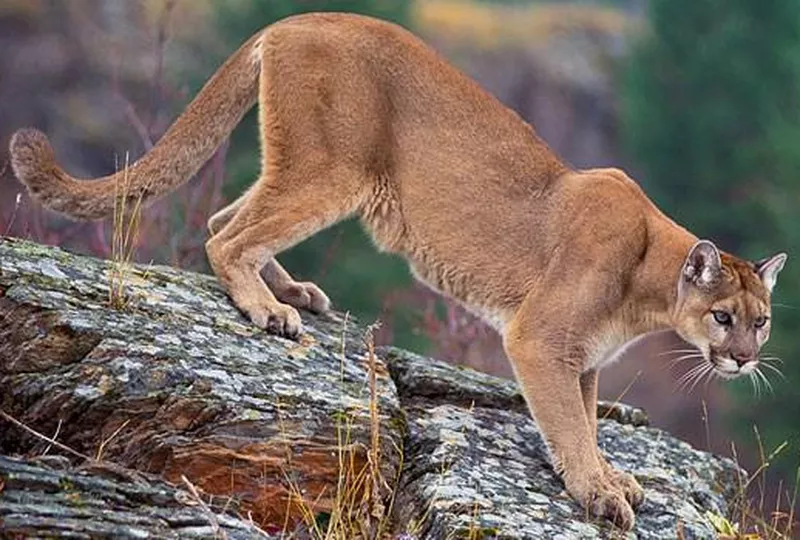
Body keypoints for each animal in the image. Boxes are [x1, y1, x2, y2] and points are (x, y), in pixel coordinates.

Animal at [9, 11, 788, 528]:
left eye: (763, 322)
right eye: (722, 316)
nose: (745, 360)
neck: (648, 280)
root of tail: (294, 19)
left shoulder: (584, 358)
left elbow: (587, 421)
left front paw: (611, 477)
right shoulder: (540, 339)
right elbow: (569, 423)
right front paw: (596, 492)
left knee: (221, 218)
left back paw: (293, 291)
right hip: (333, 168)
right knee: (226, 236)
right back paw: (269, 309)